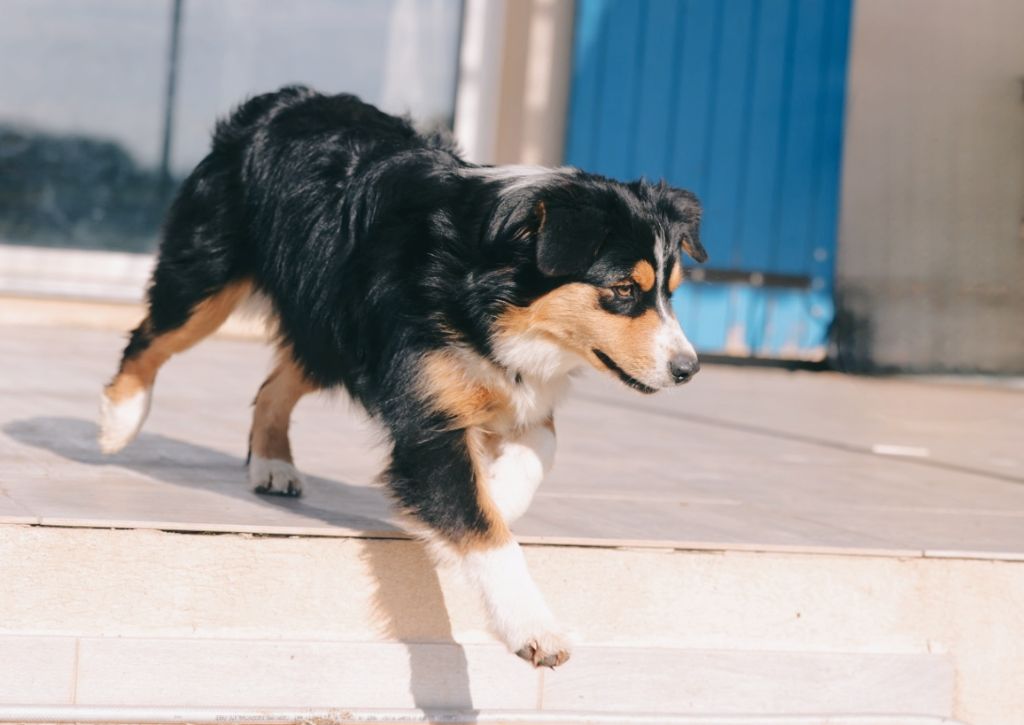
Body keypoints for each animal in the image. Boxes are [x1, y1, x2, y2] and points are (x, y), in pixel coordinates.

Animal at [99, 84, 704, 667]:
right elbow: (482, 527)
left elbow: (540, 447)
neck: (487, 287)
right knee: (151, 336)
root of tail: (286, 99)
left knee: (275, 384)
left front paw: (498, 493)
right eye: (622, 289)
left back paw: (272, 464)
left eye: (670, 292)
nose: (689, 369)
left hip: (330, 325)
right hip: (210, 273)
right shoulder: (427, 414)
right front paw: (534, 627)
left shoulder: (505, 384)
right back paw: (119, 423)